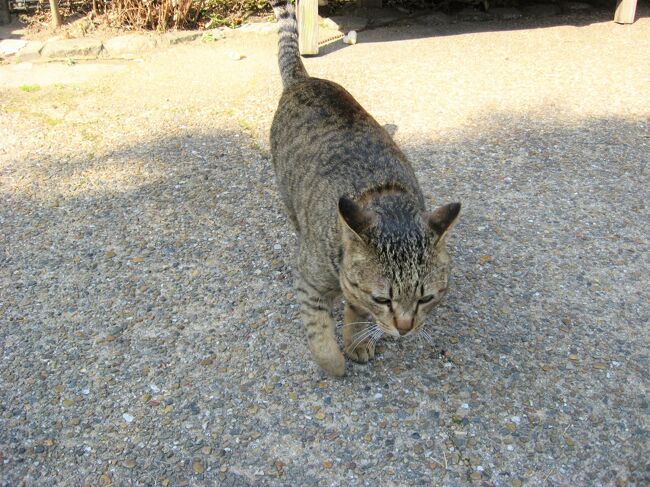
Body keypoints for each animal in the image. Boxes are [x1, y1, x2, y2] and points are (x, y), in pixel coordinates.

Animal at [270, 0, 460, 378]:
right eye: (383, 299)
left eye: (426, 298)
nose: (405, 329)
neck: (381, 193)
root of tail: (305, 79)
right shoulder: (308, 281)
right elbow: (318, 328)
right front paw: (333, 362)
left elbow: (356, 311)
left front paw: (357, 338)